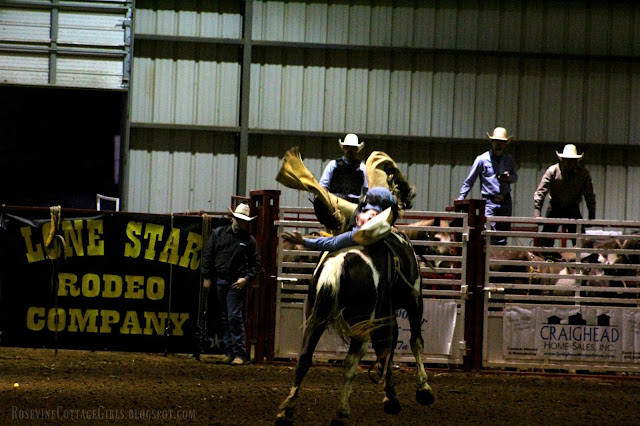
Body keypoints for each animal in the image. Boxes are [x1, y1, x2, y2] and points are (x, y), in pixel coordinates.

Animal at [276, 231, 436, 424]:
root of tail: (338, 264)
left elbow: (385, 348)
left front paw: (391, 397)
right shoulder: (414, 301)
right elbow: (415, 342)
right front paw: (423, 390)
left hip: (315, 317)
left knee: (304, 358)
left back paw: (286, 412)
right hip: (364, 321)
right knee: (351, 362)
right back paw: (342, 413)